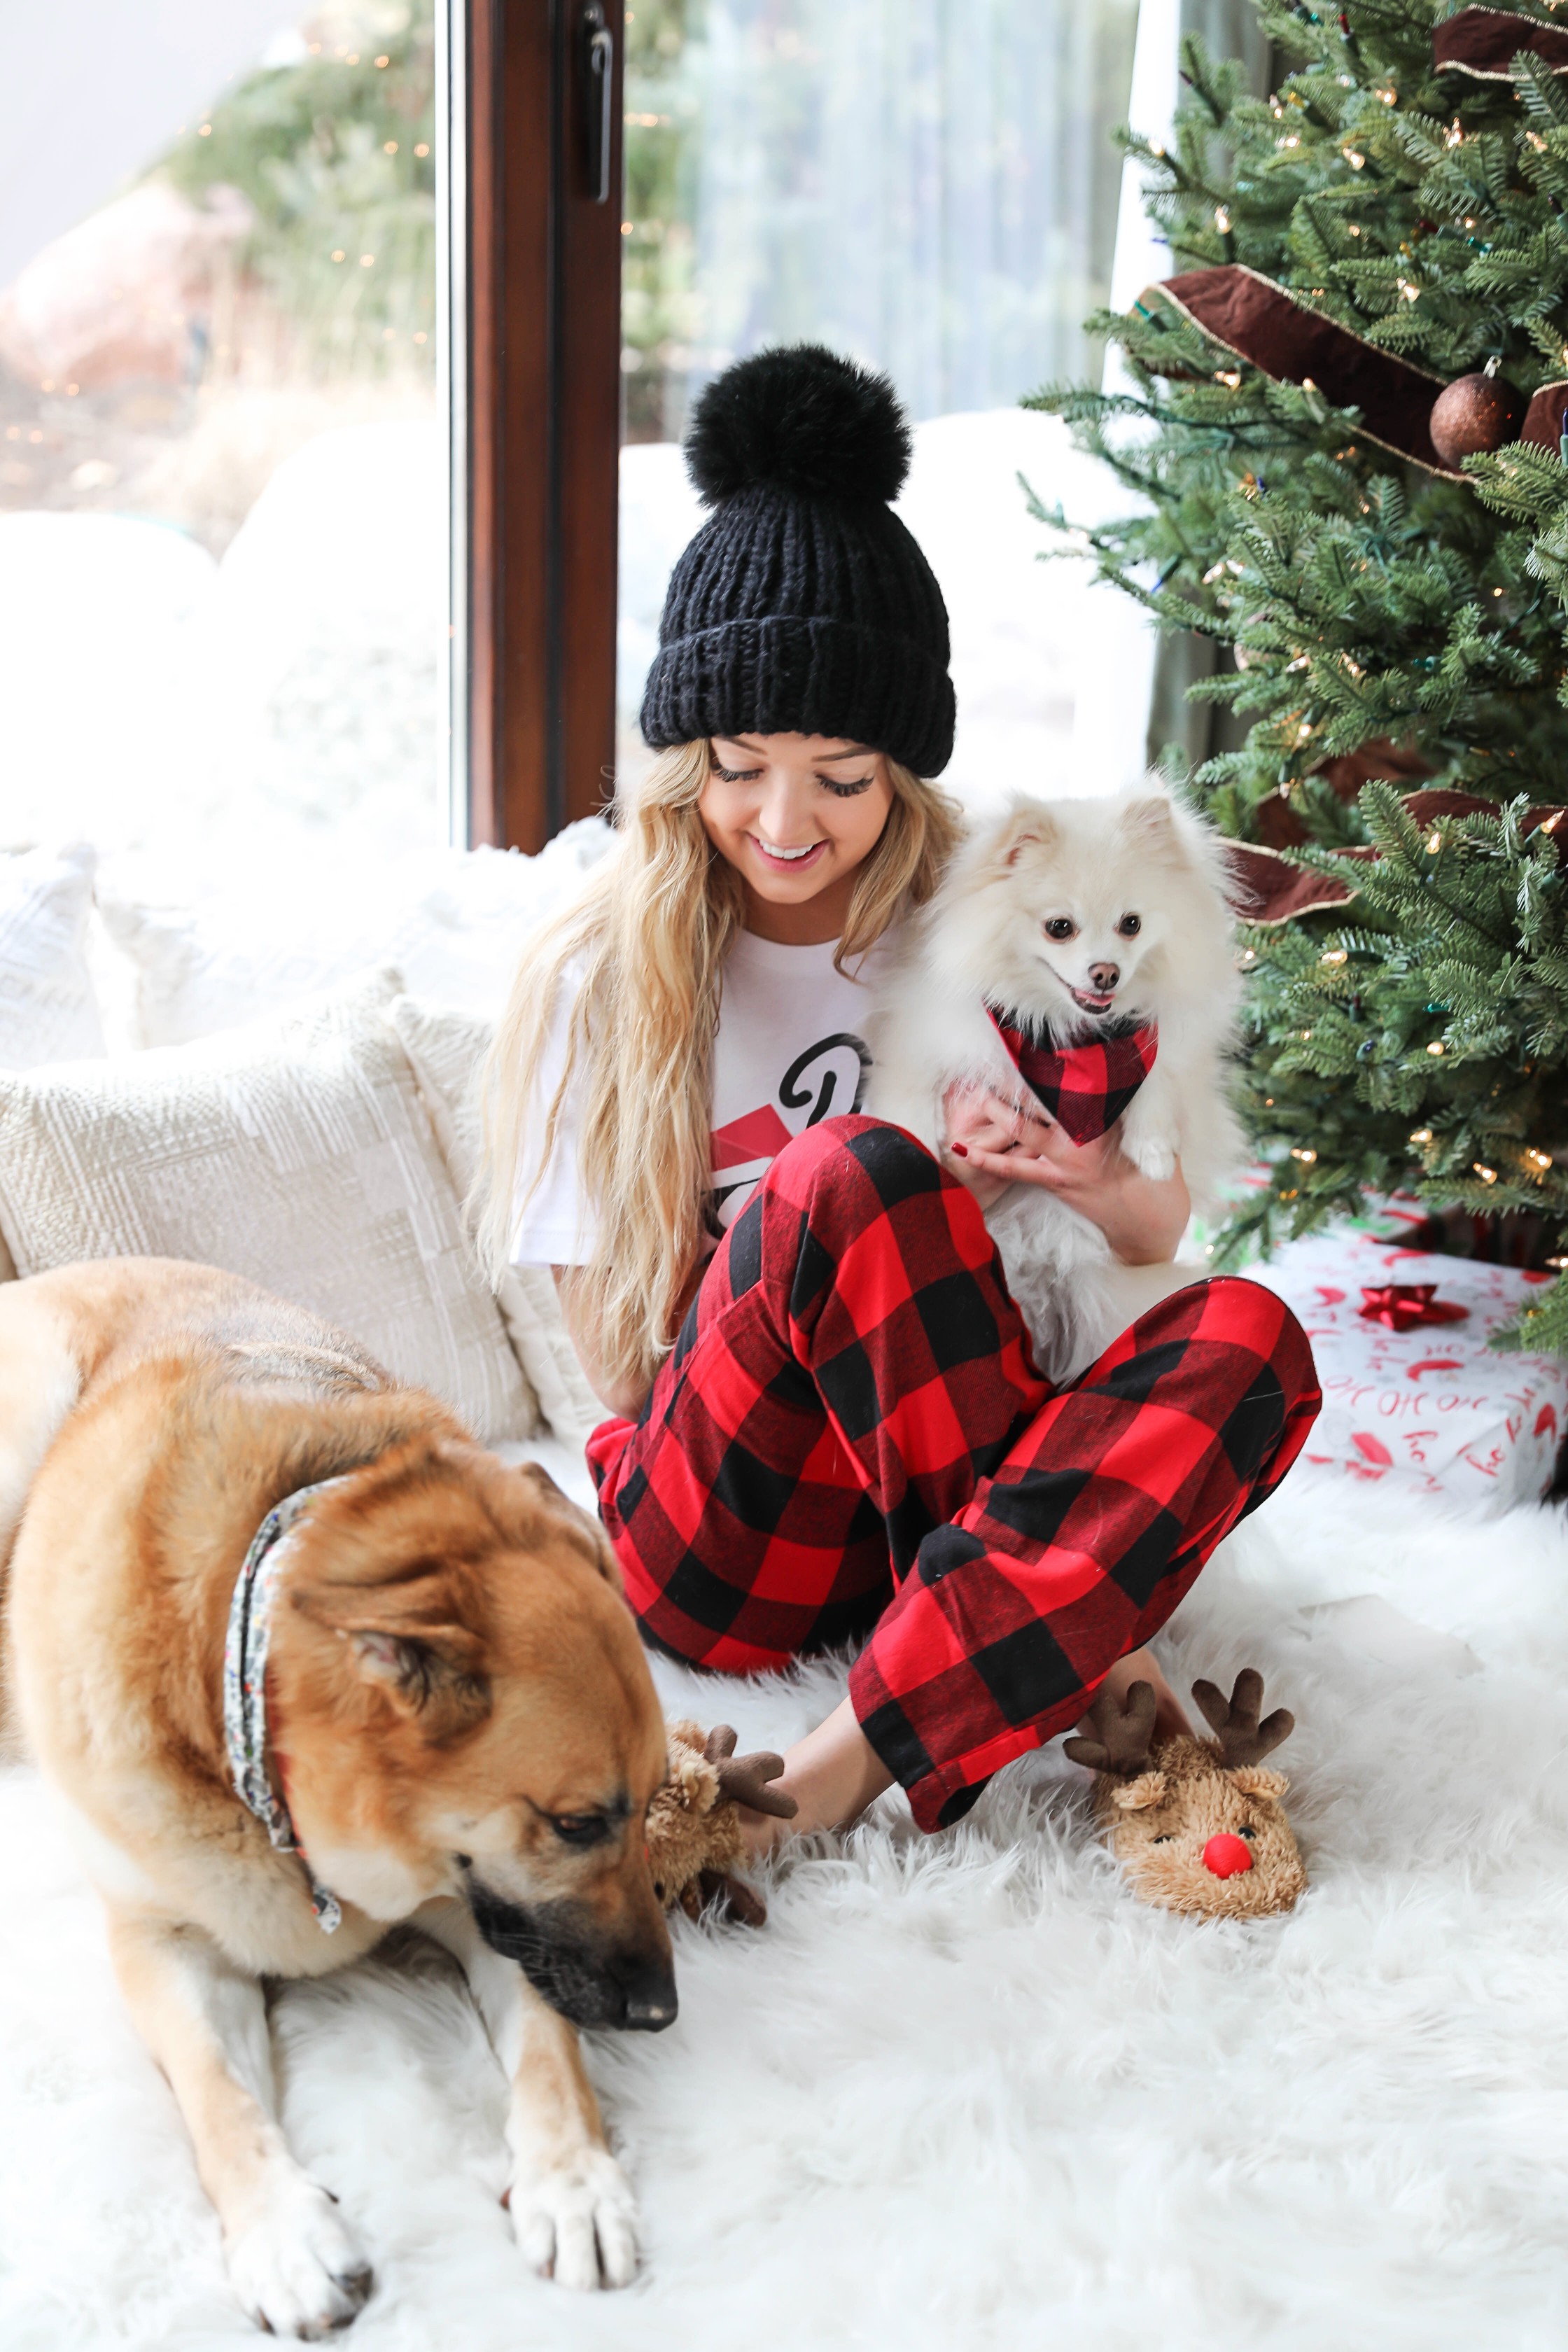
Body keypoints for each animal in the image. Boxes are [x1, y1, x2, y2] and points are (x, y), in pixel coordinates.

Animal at [0, 1260, 677, 2323]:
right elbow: (217, 2090)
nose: (661, 2014)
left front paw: (573, 2183)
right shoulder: (165, 1943)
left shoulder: (487, 1910)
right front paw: (284, 2232)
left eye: (654, 1806)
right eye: (575, 1824)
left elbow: (548, 2045)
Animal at [864, 785, 1241, 1373]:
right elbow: (908, 1095)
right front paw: (917, 1144)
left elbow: (1159, 1076)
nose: (1106, 974)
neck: (1064, 1035)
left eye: (1131, 924)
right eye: (1059, 927)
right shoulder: (919, 1034)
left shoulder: (1176, 1046)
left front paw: (1154, 1151)